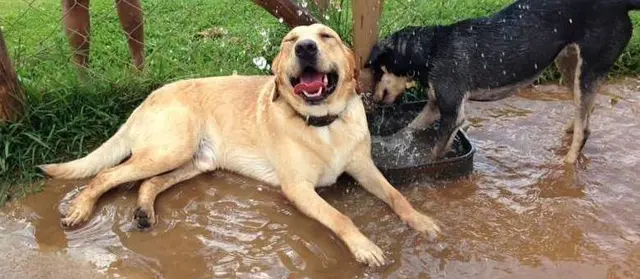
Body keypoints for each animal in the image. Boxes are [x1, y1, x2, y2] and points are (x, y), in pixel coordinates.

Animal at [40, 23, 440, 266]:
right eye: (290, 41)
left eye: (326, 36)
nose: (306, 48)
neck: (324, 124)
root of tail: (146, 99)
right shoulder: (298, 188)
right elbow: (341, 217)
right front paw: (365, 246)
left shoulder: (365, 167)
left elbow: (396, 196)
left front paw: (421, 221)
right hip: (171, 149)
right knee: (106, 175)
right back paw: (80, 209)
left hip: (194, 161)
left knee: (147, 182)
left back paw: (143, 210)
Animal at [364, 0, 640, 164]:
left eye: (379, 71)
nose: (374, 99)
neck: (431, 50)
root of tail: (621, 4)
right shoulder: (435, 104)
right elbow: (407, 129)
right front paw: (385, 145)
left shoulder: (452, 113)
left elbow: (435, 152)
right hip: (569, 64)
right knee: (586, 113)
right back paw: (570, 130)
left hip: (588, 68)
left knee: (585, 129)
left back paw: (568, 165)